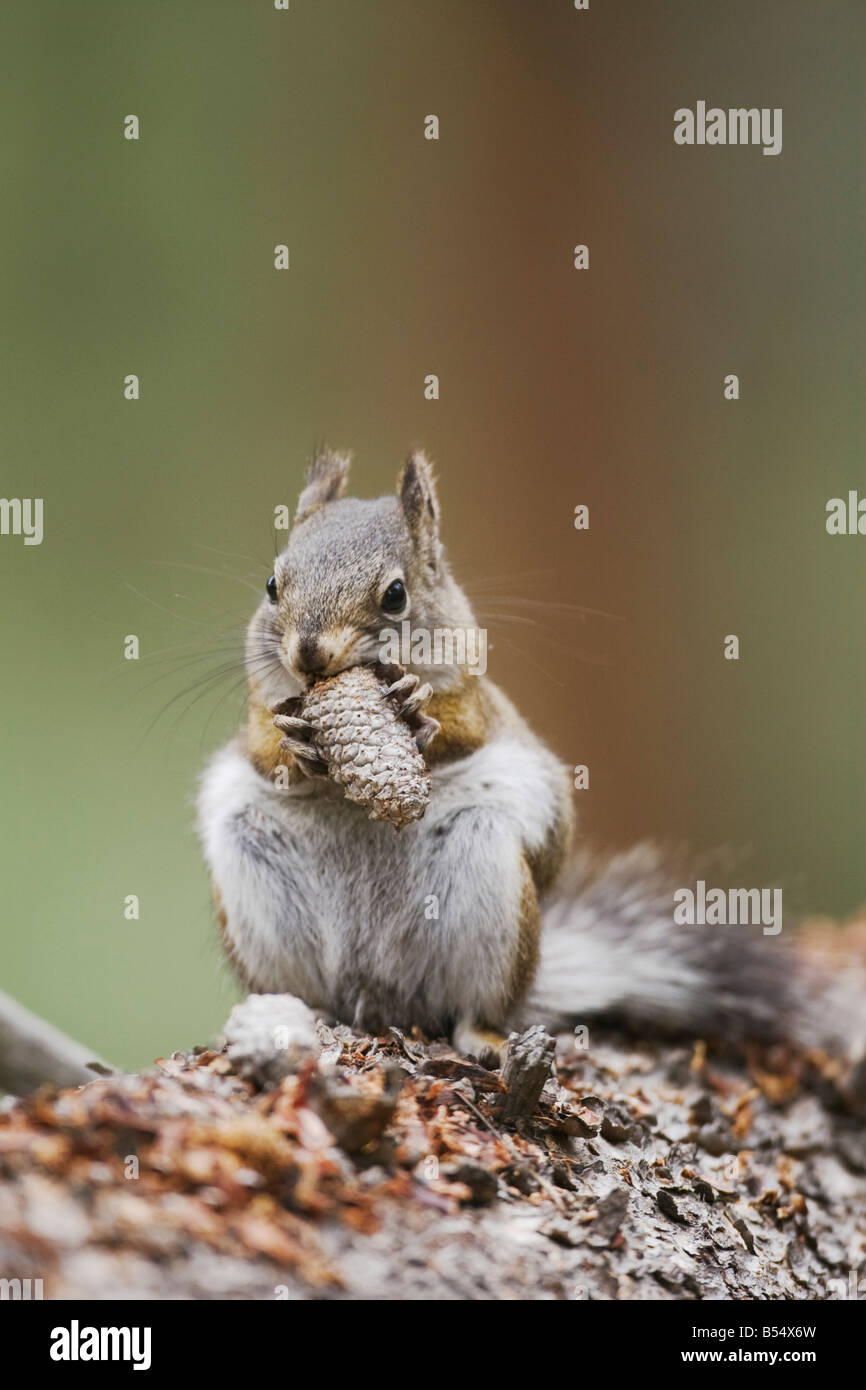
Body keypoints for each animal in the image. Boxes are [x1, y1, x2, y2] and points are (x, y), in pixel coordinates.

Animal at [198, 444, 866, 1061]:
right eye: (272, 585)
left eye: (395, 595)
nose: (308, 653)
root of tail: (382, 997)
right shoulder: (257, 713)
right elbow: (262, 749)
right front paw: (296, 741)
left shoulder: (480, 703)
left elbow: (461, 724)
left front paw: (417, 712)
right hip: (254, 877)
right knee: (311, 989)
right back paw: (298, 1013)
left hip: (488, 879)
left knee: (477, 1004)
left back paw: (483, 1035)